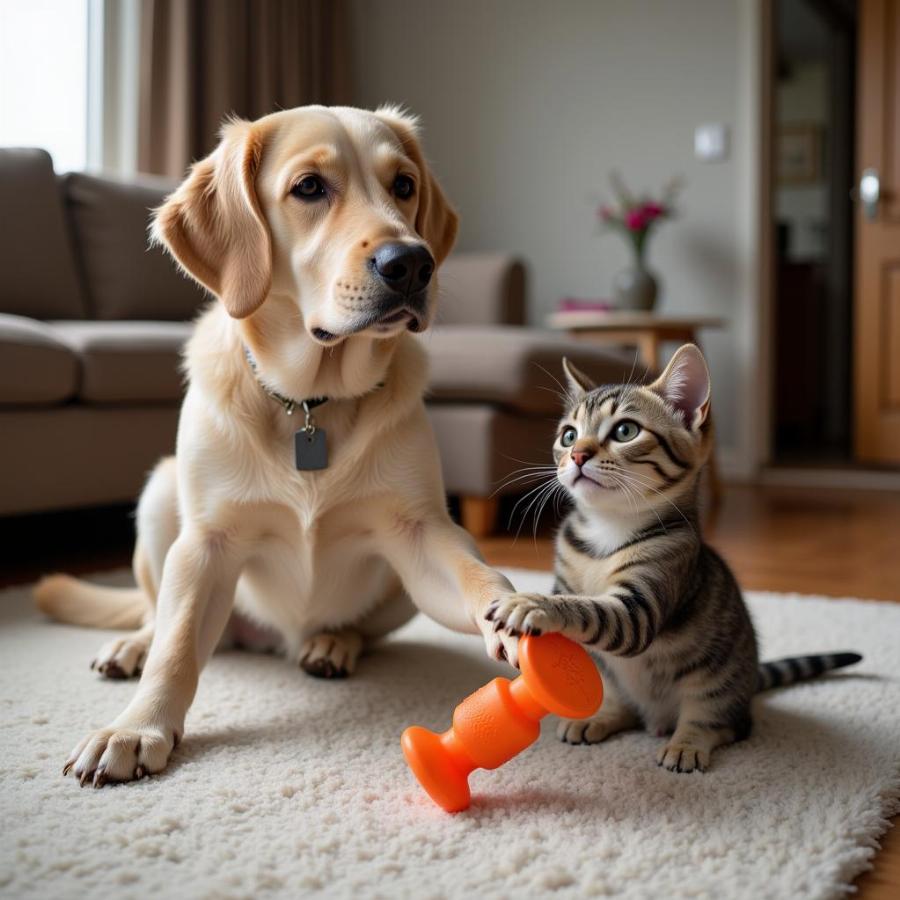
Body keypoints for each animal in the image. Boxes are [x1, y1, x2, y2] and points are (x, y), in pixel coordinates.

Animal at [37, 105, 520, 788]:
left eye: (403, 185)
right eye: (309, 187)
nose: (413, 263)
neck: (310, 402)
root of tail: (270, 640)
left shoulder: (422, 531)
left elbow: (479, 574)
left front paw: (526, 608)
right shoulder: (206, 543)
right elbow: (177, 647)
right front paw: (137, 727)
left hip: (394, 595)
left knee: (360, 629)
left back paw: (331, 643)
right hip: (161, 496)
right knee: (156, 616)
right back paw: (133, 645)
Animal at [488, 344, 860, 772]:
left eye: (625, 431)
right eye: (568, 435)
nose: (577, 454)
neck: (605, 534)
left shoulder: (641, 604)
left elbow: (584, 607)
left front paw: (531, 604)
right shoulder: (566, 573)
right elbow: (572, 601)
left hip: (716, 683)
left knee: (724, 723)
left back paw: (686, 744)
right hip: (615, 681)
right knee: (623, 705)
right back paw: (600, 717)